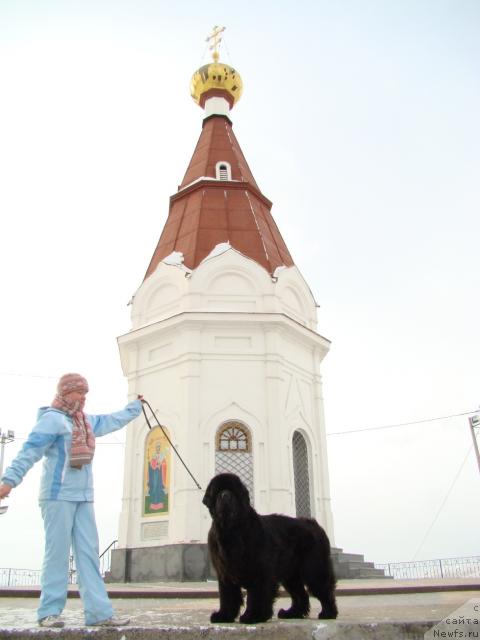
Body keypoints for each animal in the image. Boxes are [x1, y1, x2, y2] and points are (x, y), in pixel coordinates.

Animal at [202, 472, 338, 624]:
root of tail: (315, 525)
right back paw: (292, 613)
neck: (232, 531)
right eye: (218, 491)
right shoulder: (225, 573)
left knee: (324, 590)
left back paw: (328, 613)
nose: (225, 495)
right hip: (291, 575)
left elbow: (257, 596)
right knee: (300, 595)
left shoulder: (260, 571)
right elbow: (227, 597)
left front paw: (253, 616)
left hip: (313, 570)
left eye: (234, 491)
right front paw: (224, 616)